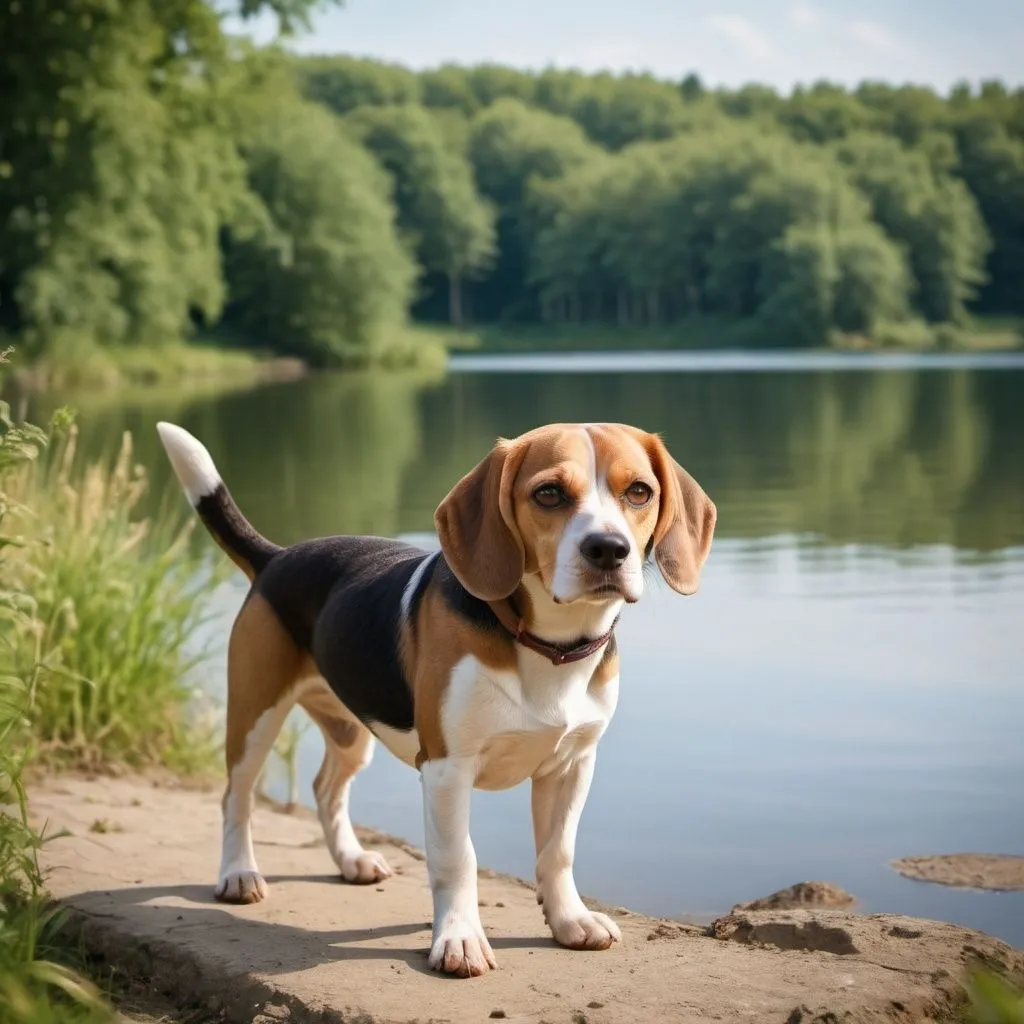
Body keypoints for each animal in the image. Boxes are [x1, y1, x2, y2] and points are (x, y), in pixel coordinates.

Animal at [157, 419, 720, 978]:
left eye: (639, 492)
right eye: (549, 493)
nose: (608, 549)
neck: (549, 644)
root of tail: (276, 556)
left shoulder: (572, 764)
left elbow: (558, 852)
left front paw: (570, 921)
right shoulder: (448, 767)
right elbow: (456, 858)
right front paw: (460, 939)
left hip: (351, 729)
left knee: (325, 788)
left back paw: (351, 860)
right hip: (256, 715)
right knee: (237, 795)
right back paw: (238, 874)